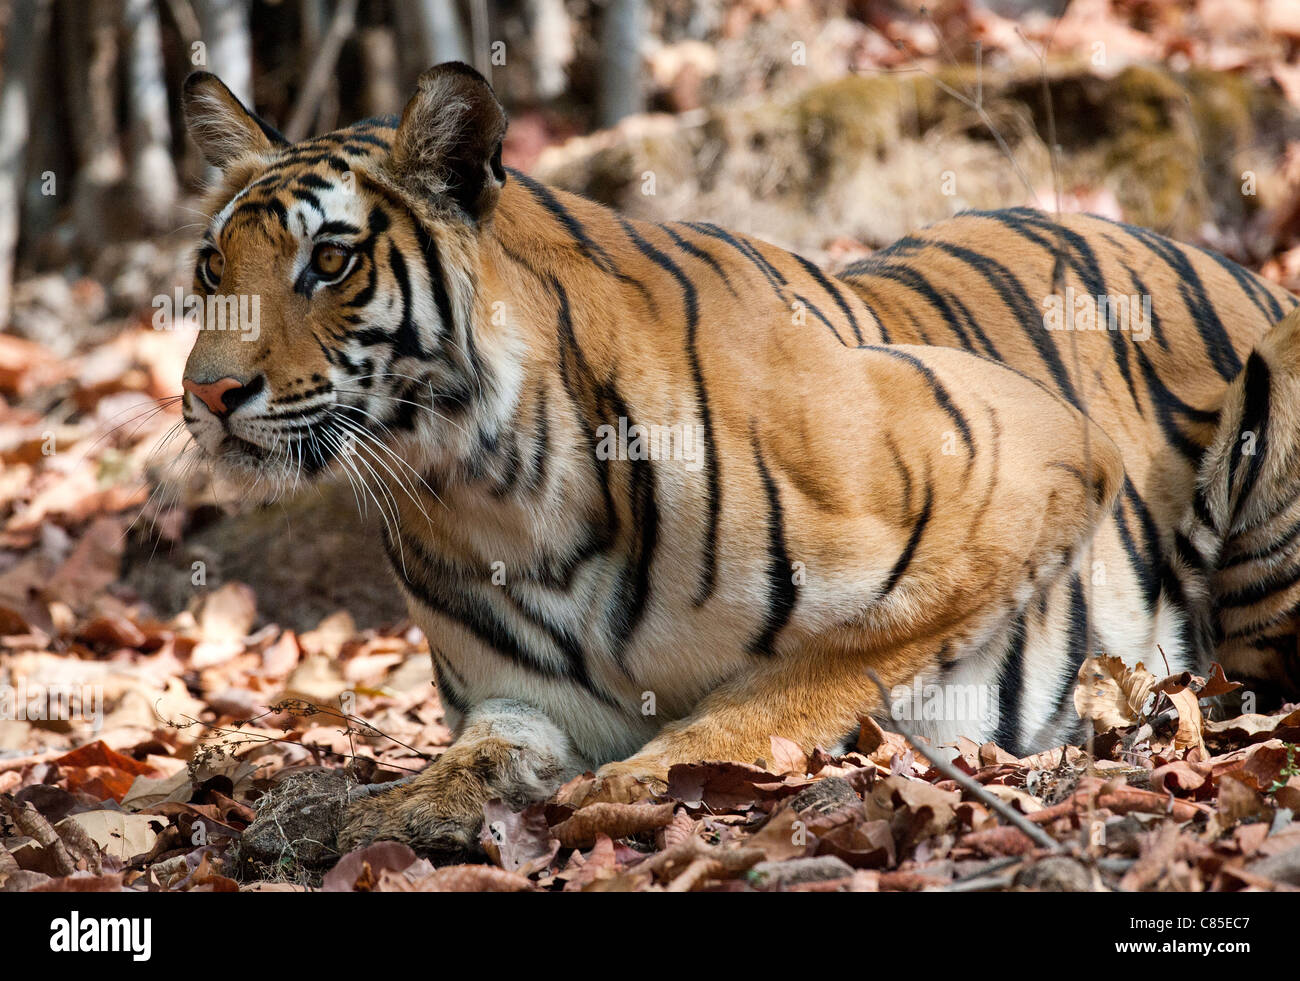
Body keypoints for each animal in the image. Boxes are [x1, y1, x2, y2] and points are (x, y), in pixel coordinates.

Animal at [180, 63, 1300, 857]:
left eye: (329, 262)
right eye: (211, 268)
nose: (206, 395)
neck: (485, 486)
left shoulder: (1028, 461)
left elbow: (802, 677)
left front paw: (631, 784)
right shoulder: (523, 701)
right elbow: (475, 758)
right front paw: (356, 816)